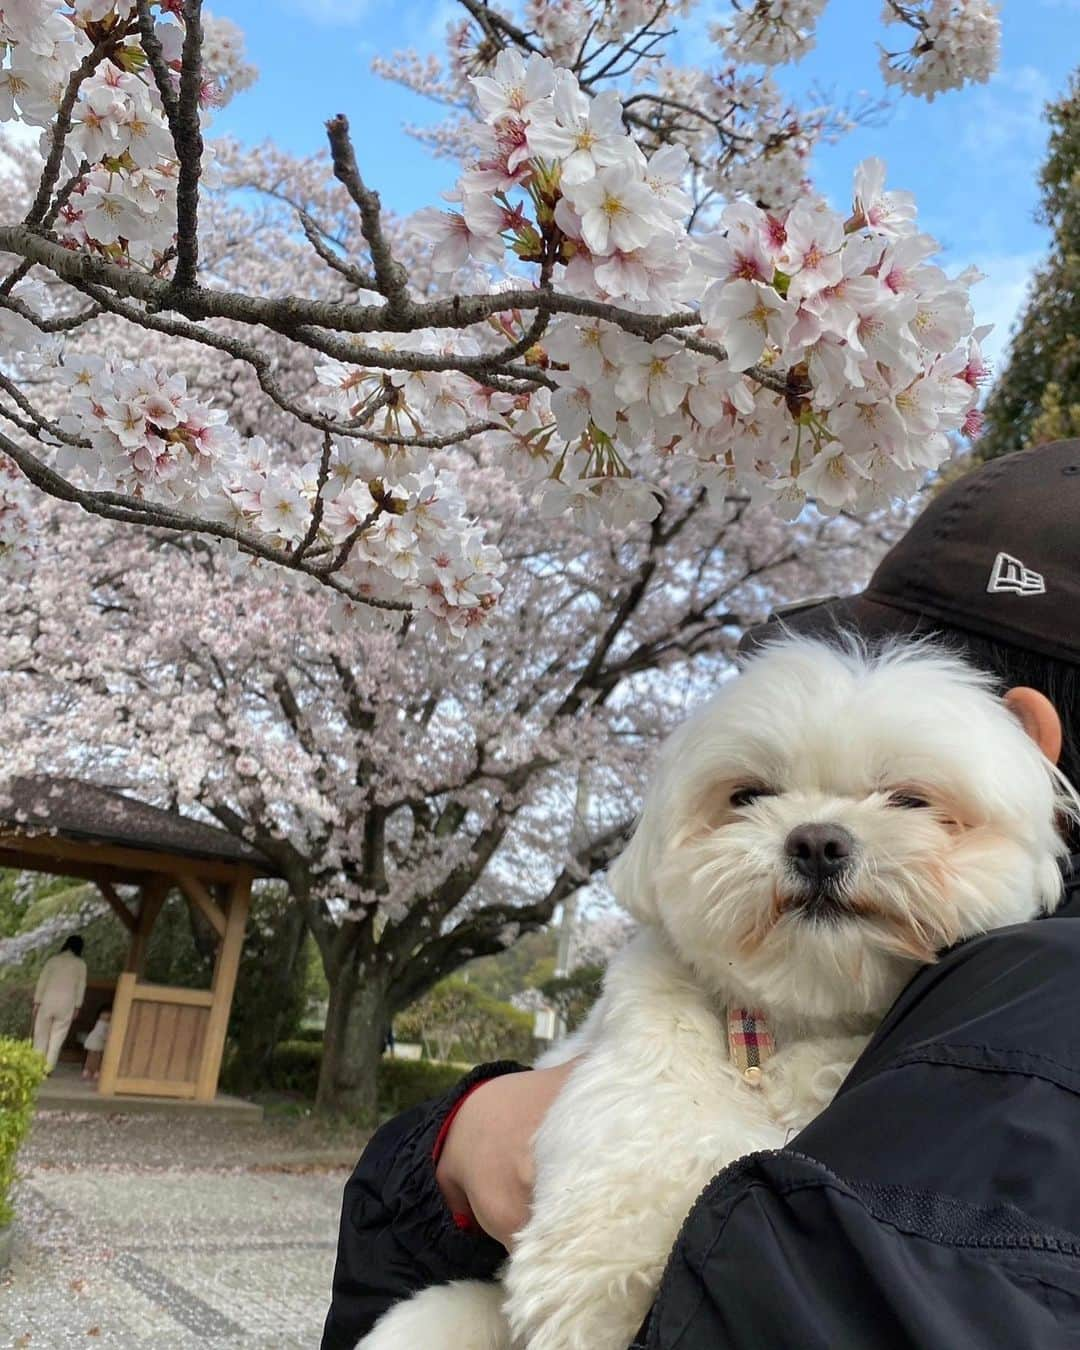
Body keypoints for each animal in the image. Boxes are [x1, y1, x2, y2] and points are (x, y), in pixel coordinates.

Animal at [359, 639, 1069, 1350]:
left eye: (910, 800)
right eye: (748, 795)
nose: (817, 841)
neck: (787, 1018)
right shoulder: (641, 1062)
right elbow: (645, 1144)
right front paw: (602, 1275)